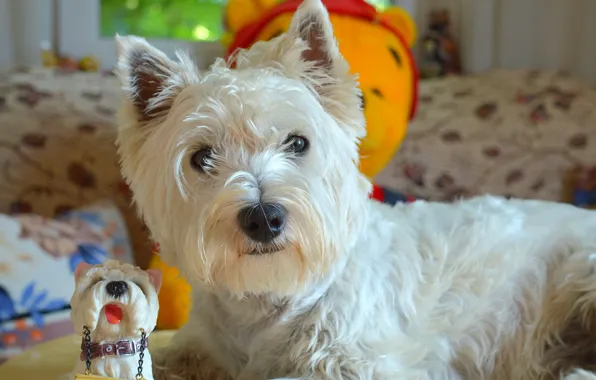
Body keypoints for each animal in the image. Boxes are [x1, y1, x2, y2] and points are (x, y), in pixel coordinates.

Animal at [114, 0, 596, 376]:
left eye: (297, 142)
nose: (264, 218)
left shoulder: (363, 362)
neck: (266, 302)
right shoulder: (200, 348)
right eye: (202, 157)